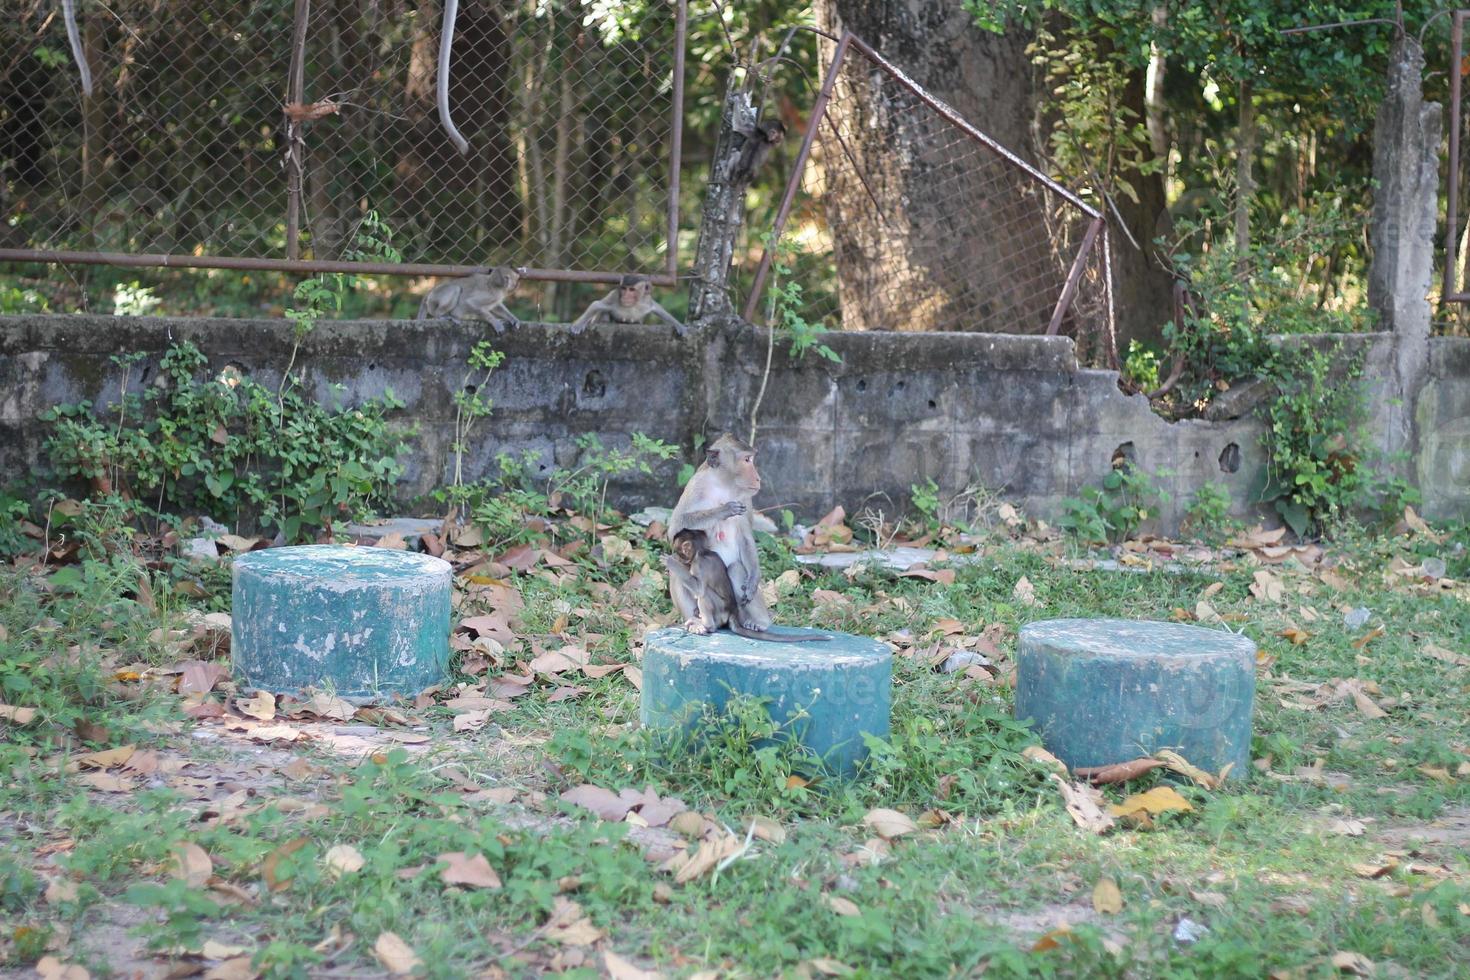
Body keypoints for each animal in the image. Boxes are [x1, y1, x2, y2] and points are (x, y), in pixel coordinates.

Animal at [667, 528, 829, 643]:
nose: (678, 558)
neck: (702, 552)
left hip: (720, 610)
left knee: (705, 594)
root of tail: (733, 613)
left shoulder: (698, 564)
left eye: (678, 551)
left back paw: (707, 625)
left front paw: (670, 563)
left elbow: (699, 588)